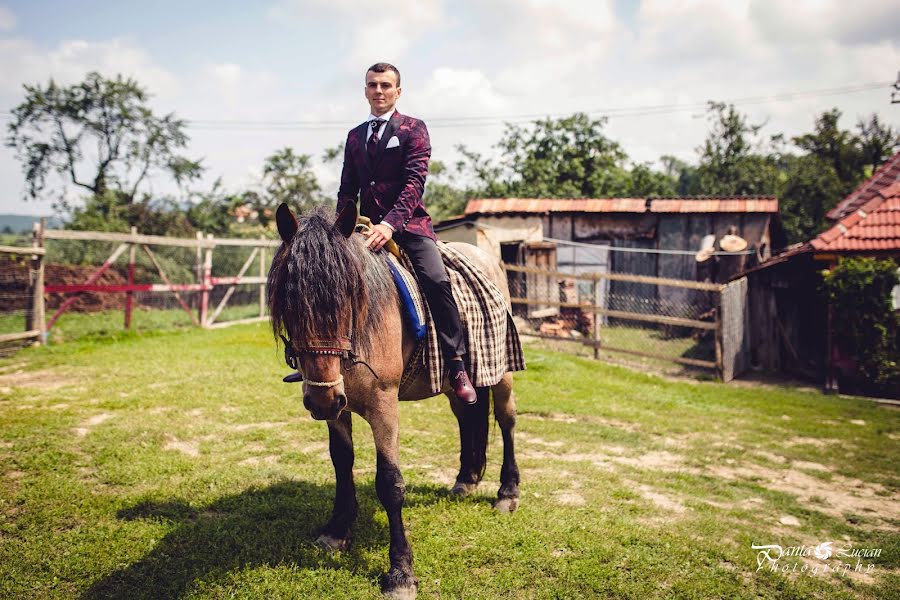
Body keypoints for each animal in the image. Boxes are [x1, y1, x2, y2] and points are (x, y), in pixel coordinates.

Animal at [268, 204, 520, 596]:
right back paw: (466, 480)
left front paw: (401, 572)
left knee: (507, 420)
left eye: (349, 295)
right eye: (289, 300)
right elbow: (341, 462)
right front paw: (337, 531)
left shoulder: (383, 406)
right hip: (454, 384)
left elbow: (390, 483)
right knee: (467, 415)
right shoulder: (337, 407)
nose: (320, 398)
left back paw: (507, 492)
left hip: (503, 372)